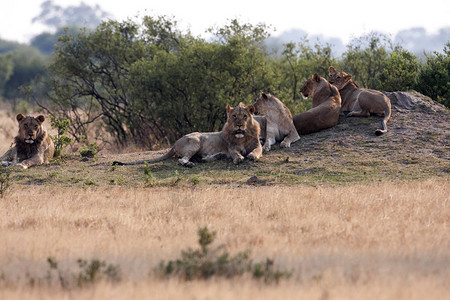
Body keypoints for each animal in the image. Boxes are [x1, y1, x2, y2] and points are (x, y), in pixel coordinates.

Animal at [111, 103, 264, 168]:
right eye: (234, 116)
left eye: (244, 116)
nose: (239, 125)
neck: (242, 136)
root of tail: (175, 143)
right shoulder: (231, 148)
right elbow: (235, 153)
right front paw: (239, 158)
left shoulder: (257, 145)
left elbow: (257, 150)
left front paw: (251, 155)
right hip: (195, 142)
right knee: (181, 159)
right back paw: (189, 164)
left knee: (200, 158)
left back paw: (212, 157)